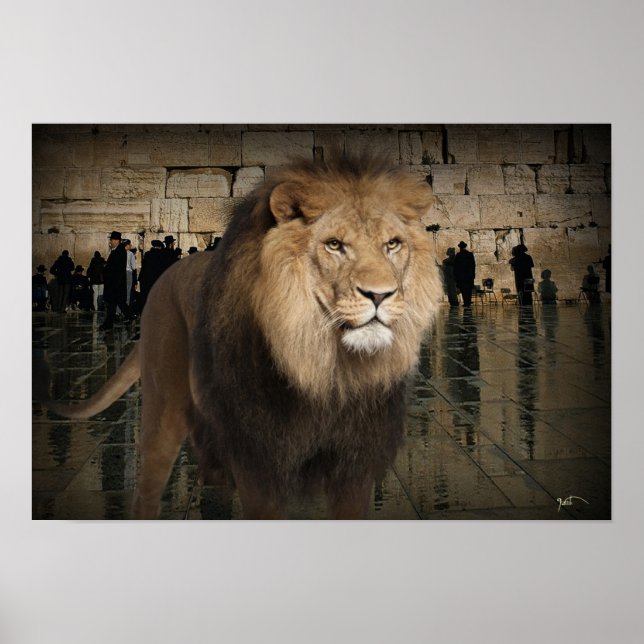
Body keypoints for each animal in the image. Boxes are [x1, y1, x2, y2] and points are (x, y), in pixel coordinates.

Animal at [35, 155, 443, 519]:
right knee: (147, 491)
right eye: (334, 245)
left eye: (392, 244)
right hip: (163, 405)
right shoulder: (260, 460)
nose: (380, 295)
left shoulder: (354, 463)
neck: (326, 366)